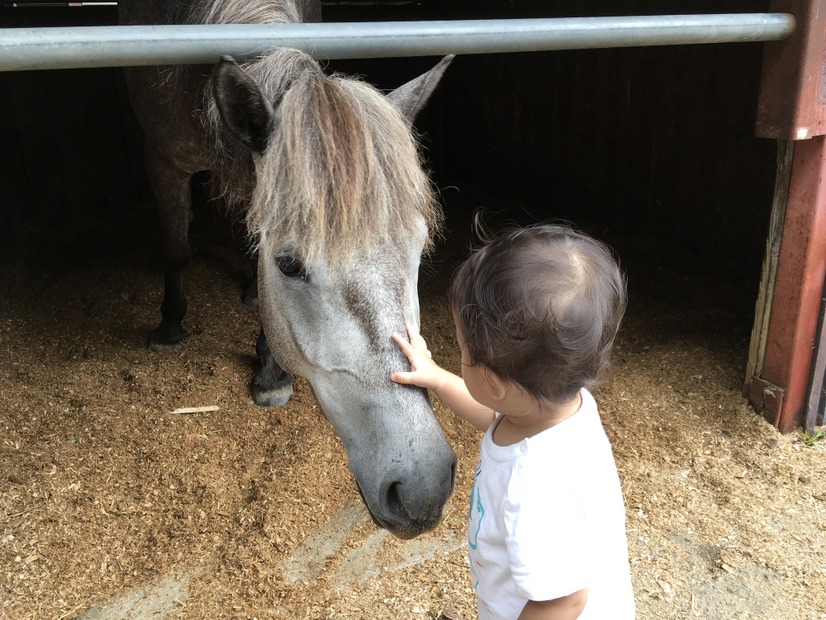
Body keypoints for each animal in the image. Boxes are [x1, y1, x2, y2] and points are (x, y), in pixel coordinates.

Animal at [119, 0, 458, 536]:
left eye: (419, 250)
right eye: (289, 264)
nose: (422, 486)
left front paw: (270, 371)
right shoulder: (163, 161)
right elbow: (176, 249)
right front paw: (170, 324)